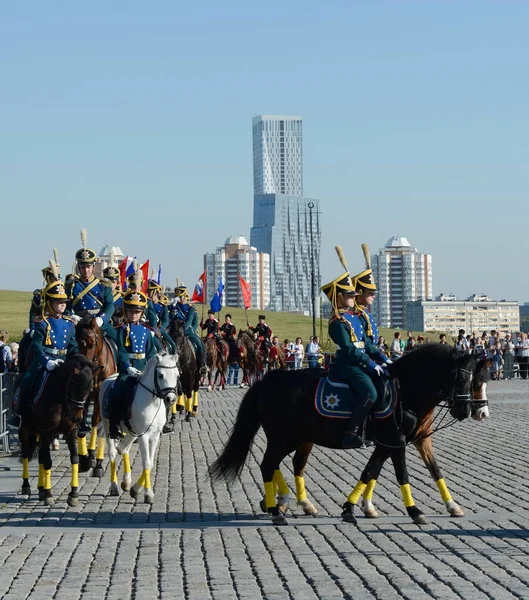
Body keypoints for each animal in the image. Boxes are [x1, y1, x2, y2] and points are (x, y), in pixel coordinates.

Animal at [18, 356, 99, 506]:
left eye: (90, 388)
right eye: (74, 385)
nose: (77, 417)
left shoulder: (70, 432)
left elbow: (74, 458)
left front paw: (73, 494)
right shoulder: (47, 432)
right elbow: (47, 462)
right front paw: (49, 494)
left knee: (40, 456)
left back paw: (41, 488)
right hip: (24, 430)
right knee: (26, 453)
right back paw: (27, 486)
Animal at [76, 316, 117, 476]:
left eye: (92, 342)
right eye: (77, 342)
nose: (83, 366)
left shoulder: (100, 399)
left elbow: (96, 424)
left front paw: (96, 461)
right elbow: (81, 425)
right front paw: (84, 459)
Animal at [99, 352, 179, 506]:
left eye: (177, 375)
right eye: (160, 375)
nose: (171, 399)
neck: (153, 401)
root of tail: (108, 379)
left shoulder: (154, 436)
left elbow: (151, 463)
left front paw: (135, 489)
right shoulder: (144, 436)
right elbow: (146, 462)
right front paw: (148, 494)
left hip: (132, 433)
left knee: (123, 448)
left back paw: (126, 481)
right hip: (108, 427)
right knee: (112, 453)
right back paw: (114, 486)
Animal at [208, 344, 480, 524]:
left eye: (476, 379)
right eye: (460, 378)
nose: (465, 410)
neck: (405, 390)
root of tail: (267, 379)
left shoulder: (388, 443)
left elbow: (371, 471)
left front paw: (352, 508)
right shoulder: (396, 441)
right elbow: (402, 474)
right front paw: (415, 511)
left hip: (294, 437)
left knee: (280, 464)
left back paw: (279, 503)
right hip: (283, 436)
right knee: (268, 464)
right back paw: (276, 510)